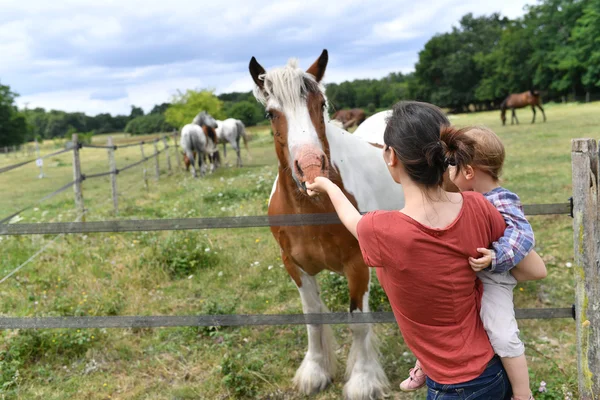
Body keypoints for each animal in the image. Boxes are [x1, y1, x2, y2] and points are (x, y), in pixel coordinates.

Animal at [248, 50, 404, 400]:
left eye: (321, 104)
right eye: (270, 113)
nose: (309, 167)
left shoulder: (357, 265)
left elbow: (358, 321)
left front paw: (363, 381)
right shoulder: (294, 266)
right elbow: (313, 317)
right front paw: (315, 371)